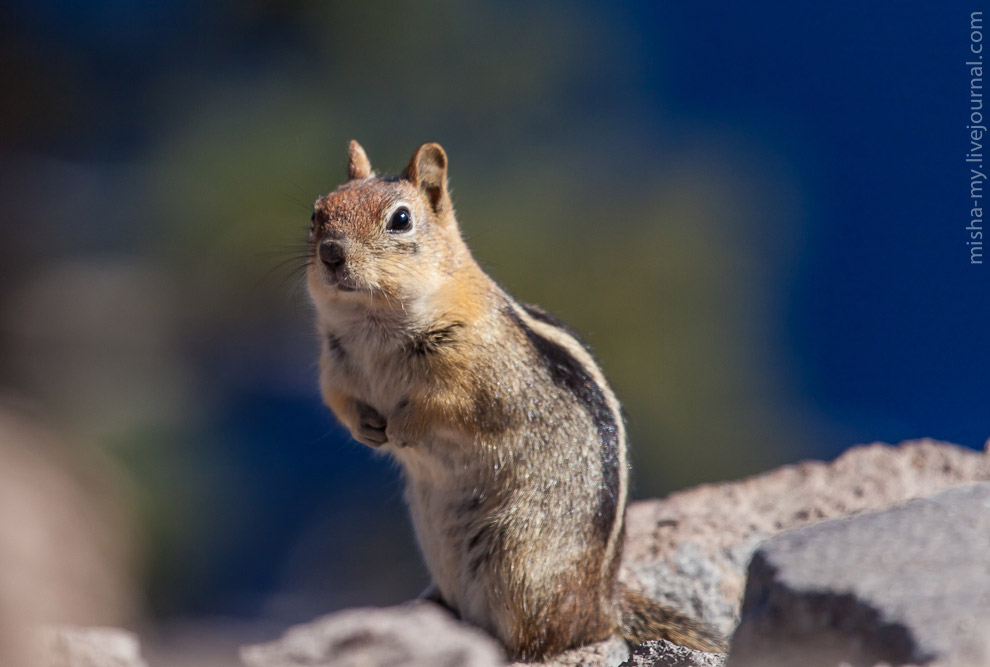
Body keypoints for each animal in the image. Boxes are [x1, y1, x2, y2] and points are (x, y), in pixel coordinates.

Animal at [306, 142, 732, 664]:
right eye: (317, 213)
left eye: (400, 219)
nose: (330, 253)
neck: (372, 323)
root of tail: (602, 605)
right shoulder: (335, 368)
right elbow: (339, 401)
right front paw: (366, 428)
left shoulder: (481, 374)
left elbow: (449, 406)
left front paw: (404, 426)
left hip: (517, 562)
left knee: (543, 636)